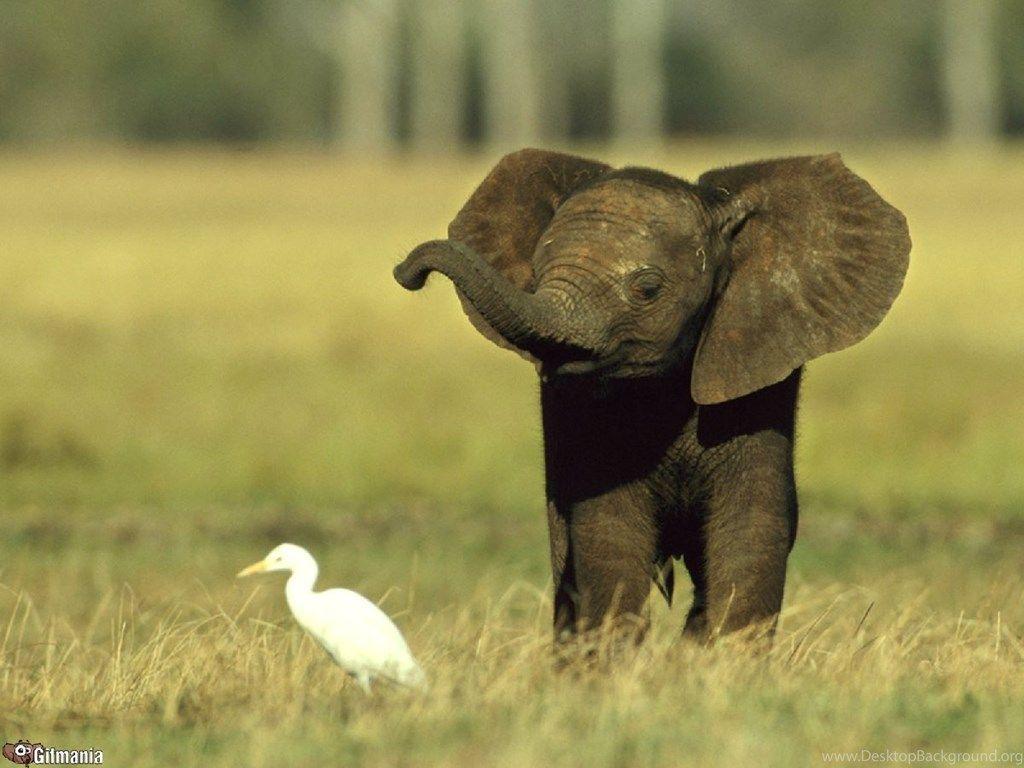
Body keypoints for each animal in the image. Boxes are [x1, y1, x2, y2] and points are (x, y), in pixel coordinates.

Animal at [394, 149, 910, 643]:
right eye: (535, 275)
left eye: (647, 289)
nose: (406, 273)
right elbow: (610, 535)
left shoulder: (756, 381)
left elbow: (749, 533)